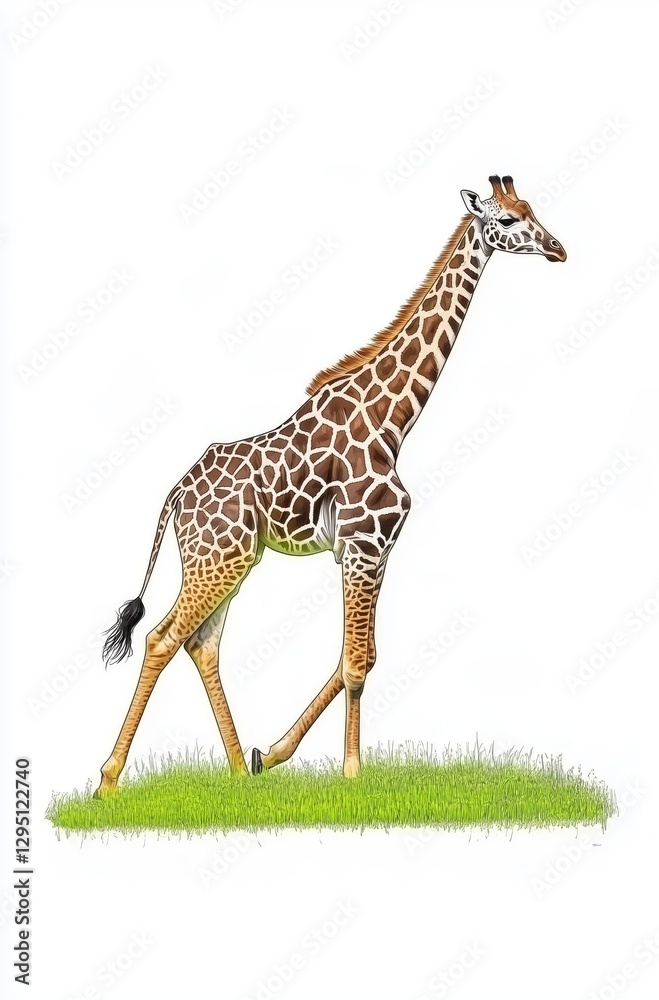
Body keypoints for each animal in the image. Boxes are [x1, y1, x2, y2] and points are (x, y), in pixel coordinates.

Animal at [95, 175, 565, 796]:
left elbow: (360, 656)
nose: (559, 249)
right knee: (162, 638)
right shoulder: (363, 545)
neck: (394, 421)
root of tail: (176, 495)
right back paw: (108, 780)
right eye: (508, 220)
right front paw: (351, 773)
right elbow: (357, 663)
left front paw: (270, 754)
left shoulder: (375, 550)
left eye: (532, 208)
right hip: (215, 559)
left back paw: (239, 774)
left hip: (233, 561)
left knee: (201, 644)